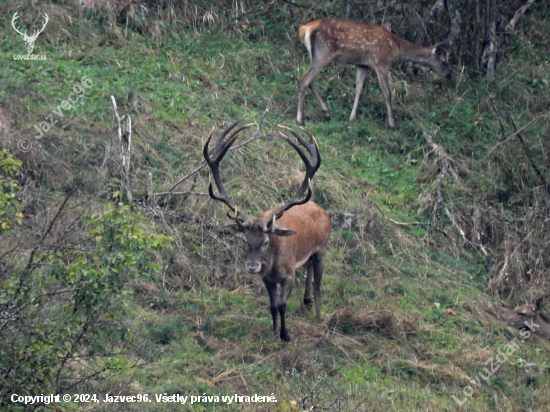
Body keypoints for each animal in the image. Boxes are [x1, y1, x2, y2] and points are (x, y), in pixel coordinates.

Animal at [204, 120, 330, 342]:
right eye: (244, 240)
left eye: (265, 241)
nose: (252, 266)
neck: (273, 266)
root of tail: (323, 210)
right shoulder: (267, 278)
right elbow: (272, 306)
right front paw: (273, 332)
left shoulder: (289, 274)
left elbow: (282, 304)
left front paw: (285, 335)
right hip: (308, 255)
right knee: (308, 269)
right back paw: (305, 301)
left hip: (322, 248)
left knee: (317, 285)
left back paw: (317, 318)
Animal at [298, 18, 452, 128]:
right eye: (443, 61)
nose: (449, 75)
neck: (397, 48)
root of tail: (304, 28)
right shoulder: (381, 63)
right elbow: (387, 93)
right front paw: (393, 123)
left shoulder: (363, 65)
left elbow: (359, 89)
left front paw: (352, 118)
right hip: (323, 52)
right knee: (304, 80)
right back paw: (300, 119)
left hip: (315, 55)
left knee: (310, 80)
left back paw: (326, 112)